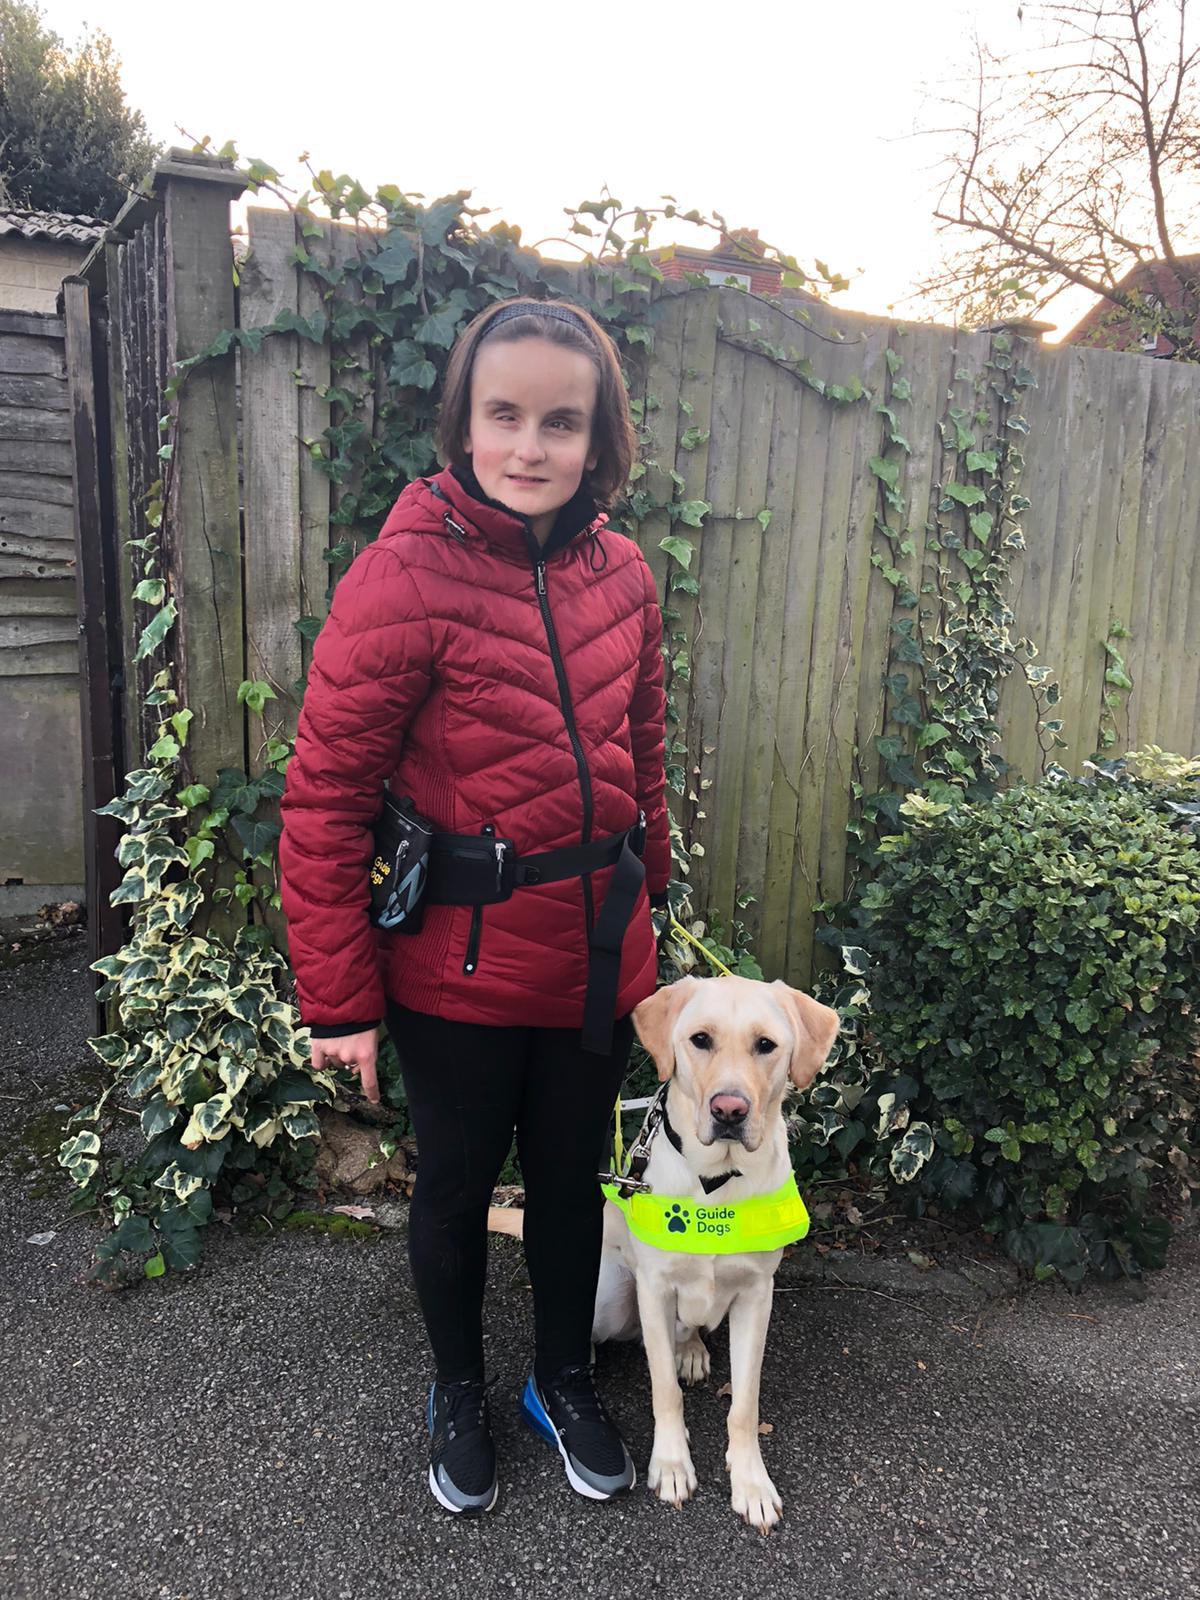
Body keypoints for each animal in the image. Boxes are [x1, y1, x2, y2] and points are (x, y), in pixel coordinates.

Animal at [490, 973, 839, 1533]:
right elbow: (664, 1392)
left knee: (690, 1328)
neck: (717, 1181)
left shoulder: (756, 1298)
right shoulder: (653, 1292)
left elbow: (744, 1404)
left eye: (766, 1045)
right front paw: (673, 1464)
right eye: (700, 1040)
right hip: (609, 1292)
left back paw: (691, 1349)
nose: (729, 1110)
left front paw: (751, 1482)